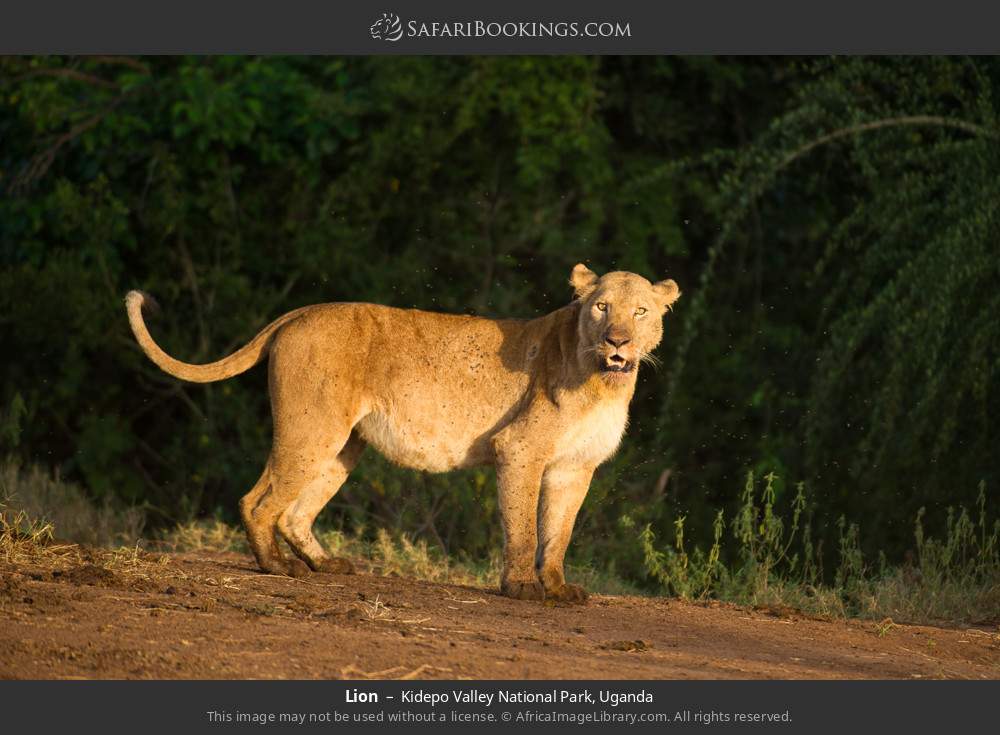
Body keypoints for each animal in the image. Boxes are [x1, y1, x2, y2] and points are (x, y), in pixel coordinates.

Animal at [127, 264, 680, 604]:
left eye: (640, 311)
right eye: (601, 307)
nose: (617, 341)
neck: (603, 383)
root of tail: (300, 312)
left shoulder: (575, 466)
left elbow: (558, 532)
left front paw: (559, 590)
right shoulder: (519, 449)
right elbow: (524, 529)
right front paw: (522, 588)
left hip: (342, 446)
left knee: (294, 511)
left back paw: (324, 565)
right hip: (311, 429)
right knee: (258, 502)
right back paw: (276, 568)